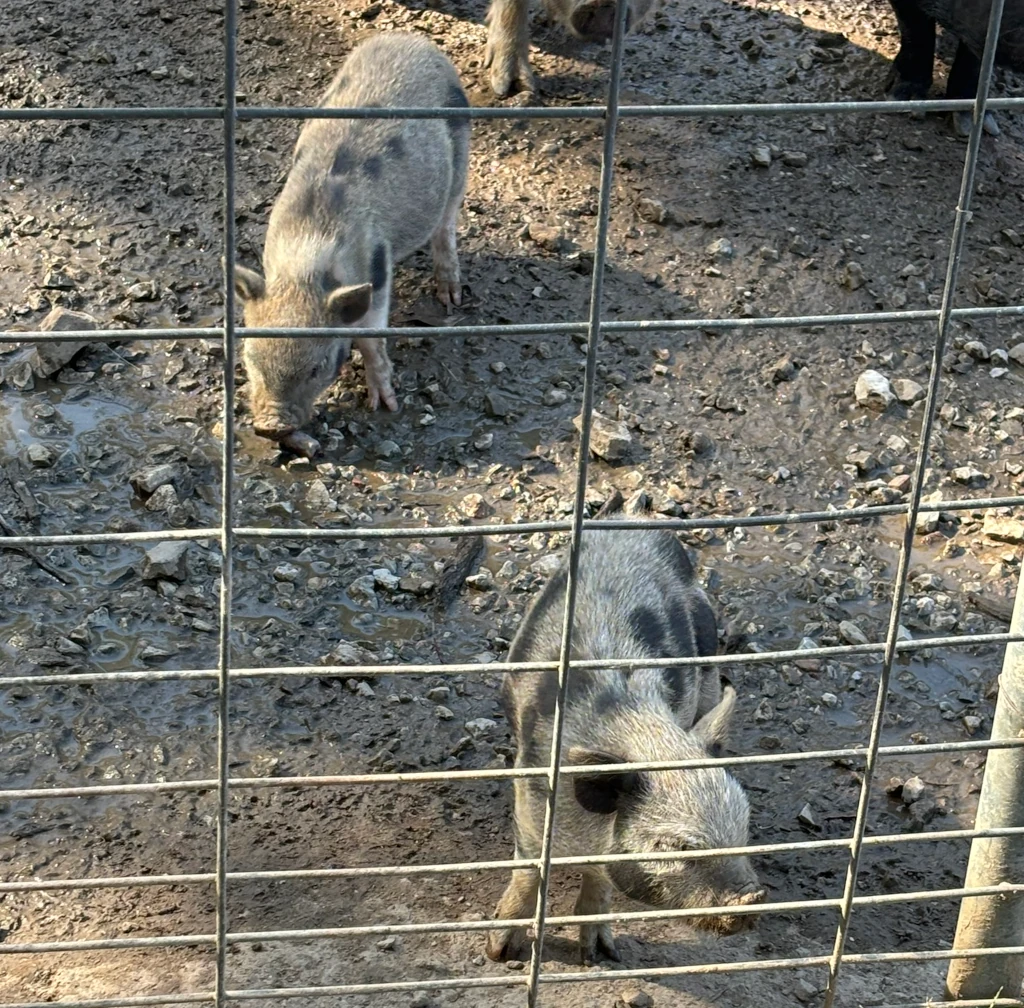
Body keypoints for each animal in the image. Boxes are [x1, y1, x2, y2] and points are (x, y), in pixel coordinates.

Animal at [232, 33, 468, 442]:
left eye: (318, 366)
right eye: (251, 357)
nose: (271, 427)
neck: (305, 260)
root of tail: (412, 40)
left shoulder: (377, 268)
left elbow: (372, 338)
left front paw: (384, 405)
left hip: (462, 147)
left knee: (446, 224)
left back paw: (450, 297)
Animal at [483, 524, 765, 962]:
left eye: (743, 825)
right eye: (675, 846)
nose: (752, 898)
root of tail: (633, 520)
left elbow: (601, 880)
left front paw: (600, 956)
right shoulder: (528, 795)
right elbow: (528, 869)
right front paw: (498, 953)